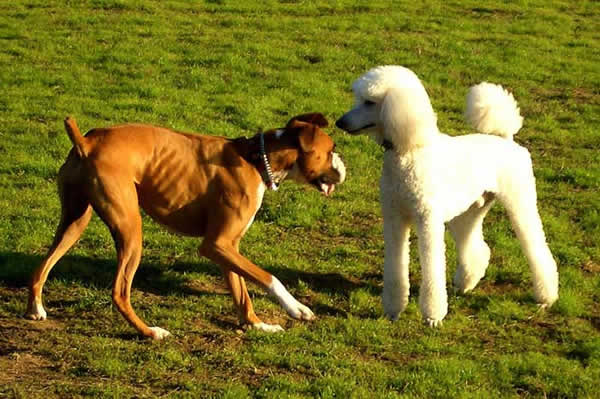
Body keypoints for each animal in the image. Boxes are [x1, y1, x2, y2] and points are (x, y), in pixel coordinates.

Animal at [27, 114, 346, 340]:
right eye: (331, 150)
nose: (345, 166)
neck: (256, 158)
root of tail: (87, 142)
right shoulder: (216, 245)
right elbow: (269, 278)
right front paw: (297, 309)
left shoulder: (228, 248)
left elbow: (241, 291)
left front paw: (257, 326)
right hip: (131, 232)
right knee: (119, 292)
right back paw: (150, 332)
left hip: (74, 223)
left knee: (42, 266)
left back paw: (36, 309)